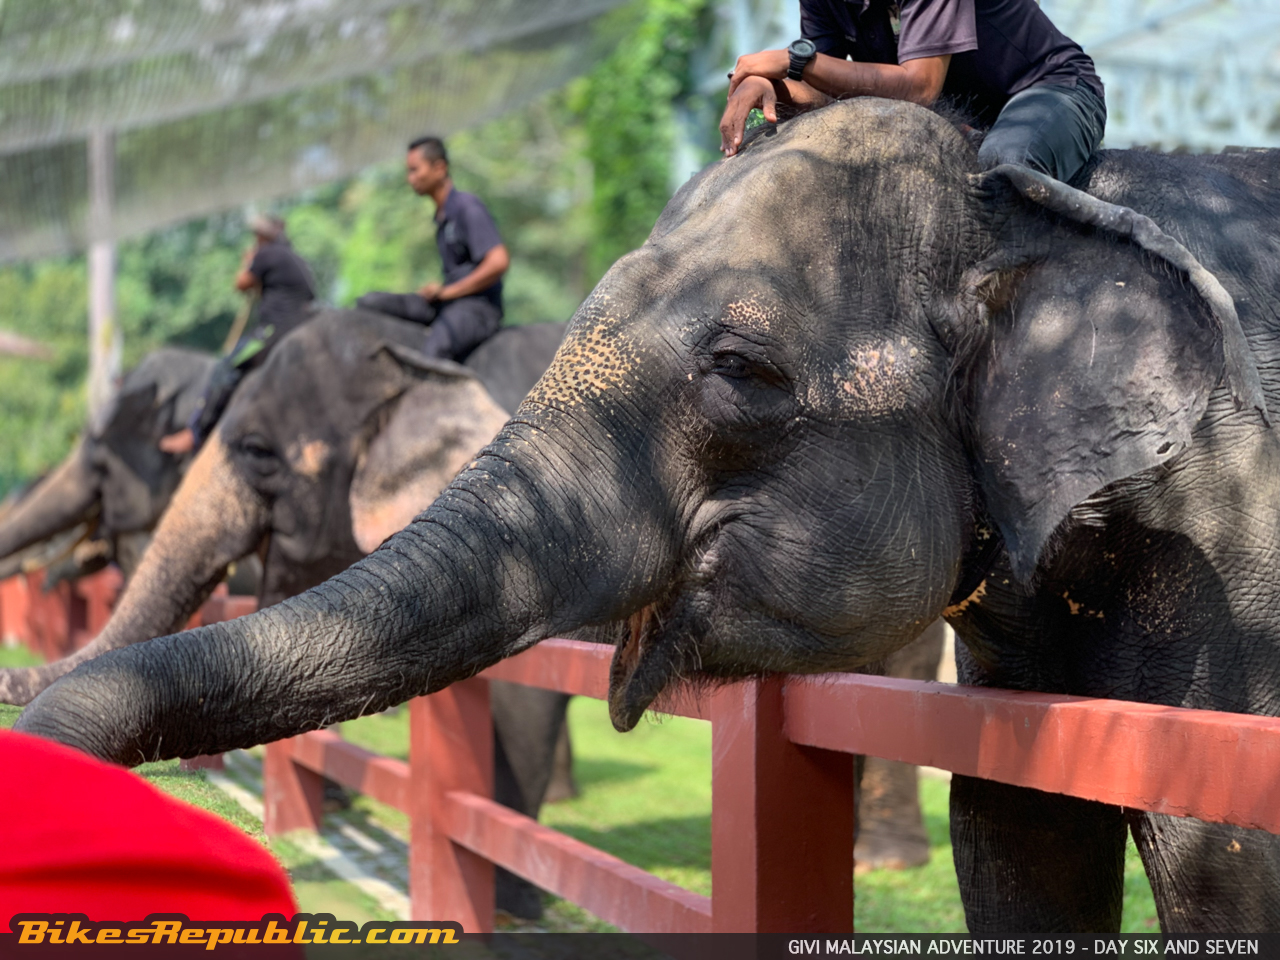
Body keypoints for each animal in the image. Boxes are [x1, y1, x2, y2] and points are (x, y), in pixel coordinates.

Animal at [21, 98, 1280, 932]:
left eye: (737, 370)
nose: (20, 680)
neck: (1037, 215)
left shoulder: (1225, 521)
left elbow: (1209, 845)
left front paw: (516, 912)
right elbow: (1017, 823)